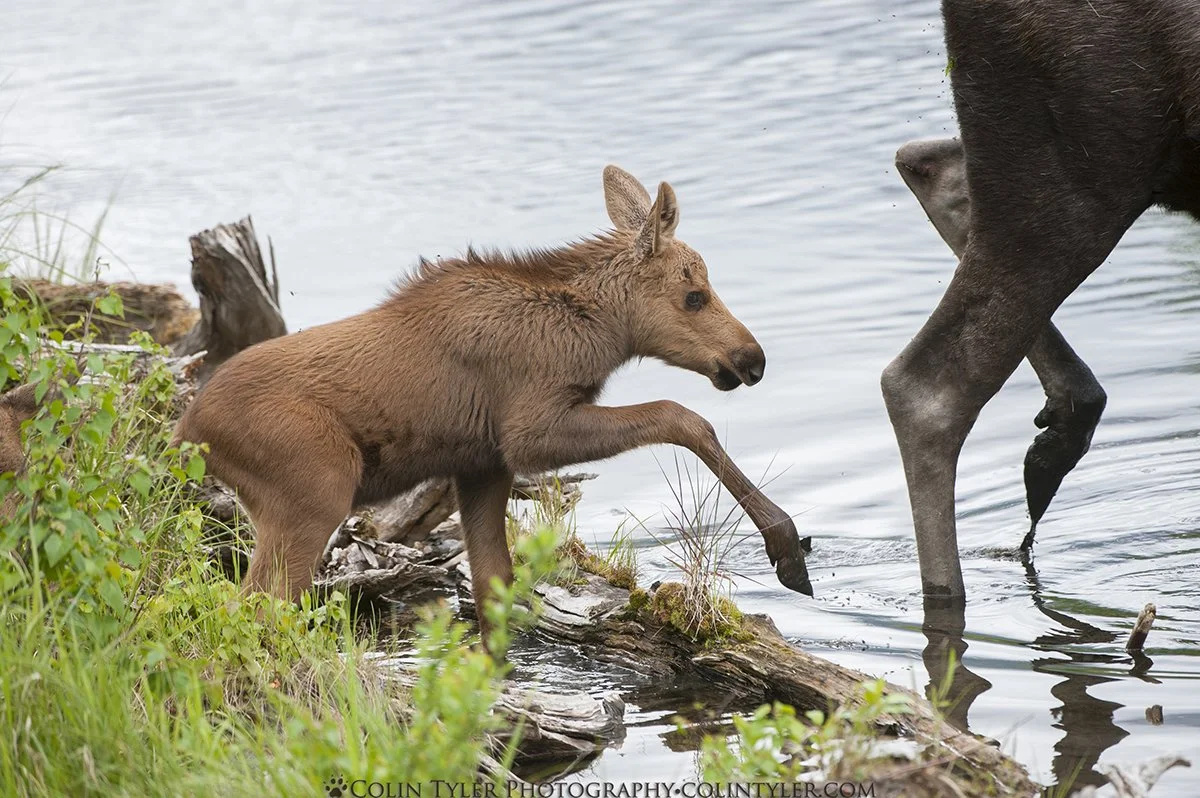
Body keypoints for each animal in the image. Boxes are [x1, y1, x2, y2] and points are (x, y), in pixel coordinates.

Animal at [173, 165, 812, 643]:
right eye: (694, 296)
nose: (752, 359)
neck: (595, 333)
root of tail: (189, 430)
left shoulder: (481, 463)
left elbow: (494, 594)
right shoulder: (529, 432)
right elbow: (683, 417)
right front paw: (785, 545)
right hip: (315, 492)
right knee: (252, 609)